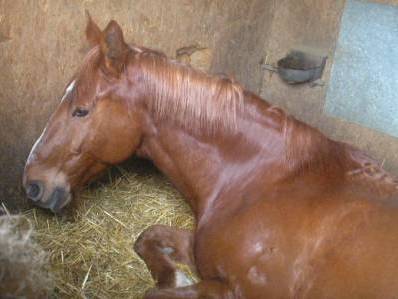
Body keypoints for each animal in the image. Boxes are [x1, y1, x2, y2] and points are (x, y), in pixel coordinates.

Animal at [22, 14, 398, 299]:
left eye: (81, 111)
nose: (32, 184)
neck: (265, 179)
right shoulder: (201, 250)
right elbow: (147, 237)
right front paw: (177, 274)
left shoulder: (236, 291)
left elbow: (154, 292)